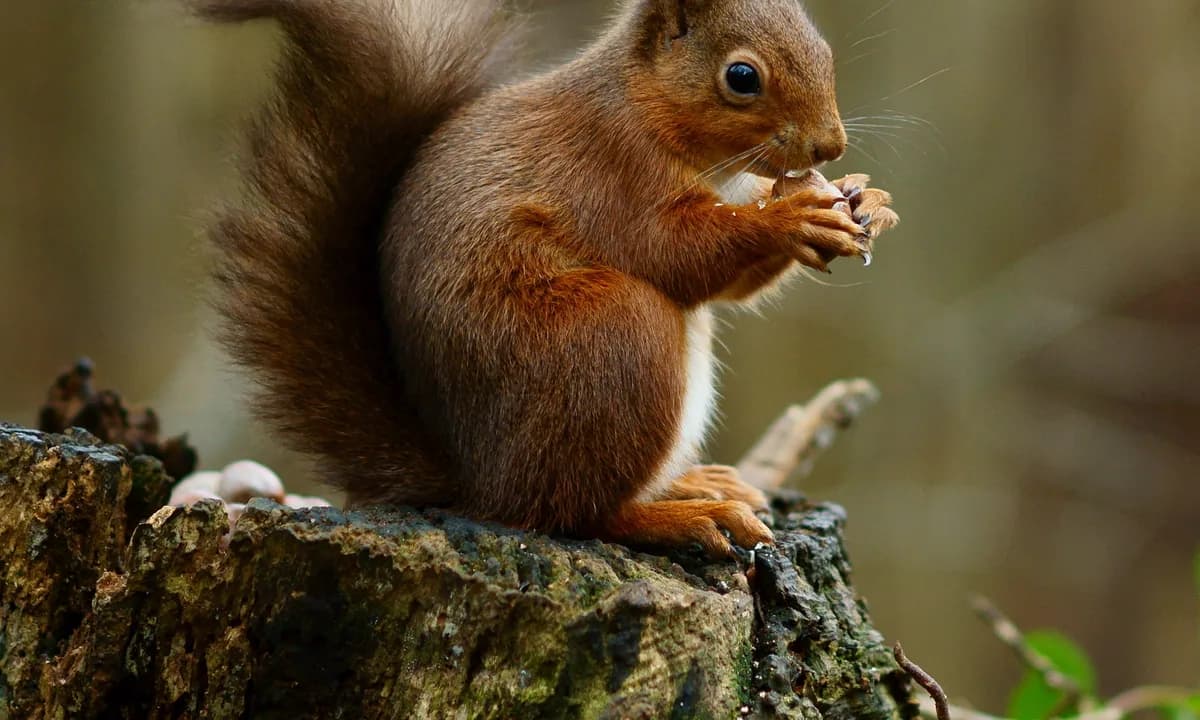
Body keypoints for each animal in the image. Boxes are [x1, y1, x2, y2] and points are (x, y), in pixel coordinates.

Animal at [187, 0, 899, 558]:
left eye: (823, 50)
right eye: (742, 76)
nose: (830, 147)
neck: (647, 108)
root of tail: (480, 481)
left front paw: (866, 199)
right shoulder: (612, 173)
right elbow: (675, 253)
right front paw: (791, 216)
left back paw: (698, 483)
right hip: (612, 333)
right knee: (574, 513)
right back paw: (683, 516)